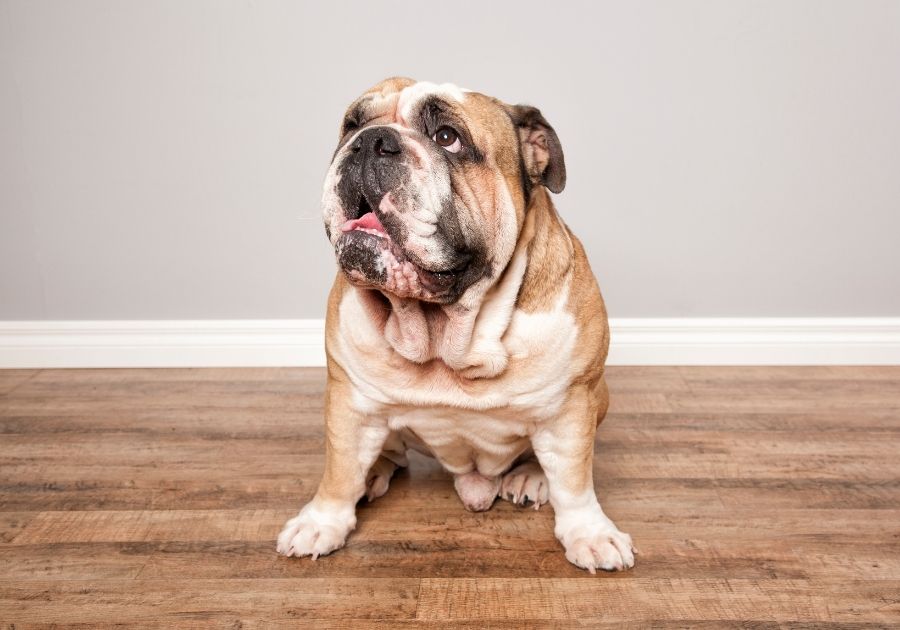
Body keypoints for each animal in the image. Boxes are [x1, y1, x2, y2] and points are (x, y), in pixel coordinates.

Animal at [278, 78, 636, 572]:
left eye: (448, 137)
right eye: (351, 125)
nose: (370, 141)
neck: (449, 333)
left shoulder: (572, 405)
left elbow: (574, 480)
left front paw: (590, 532)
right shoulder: (349, 401)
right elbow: (340, 469)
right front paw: (322, 521)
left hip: (599, 398)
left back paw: (531, 477)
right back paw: (374, 472)